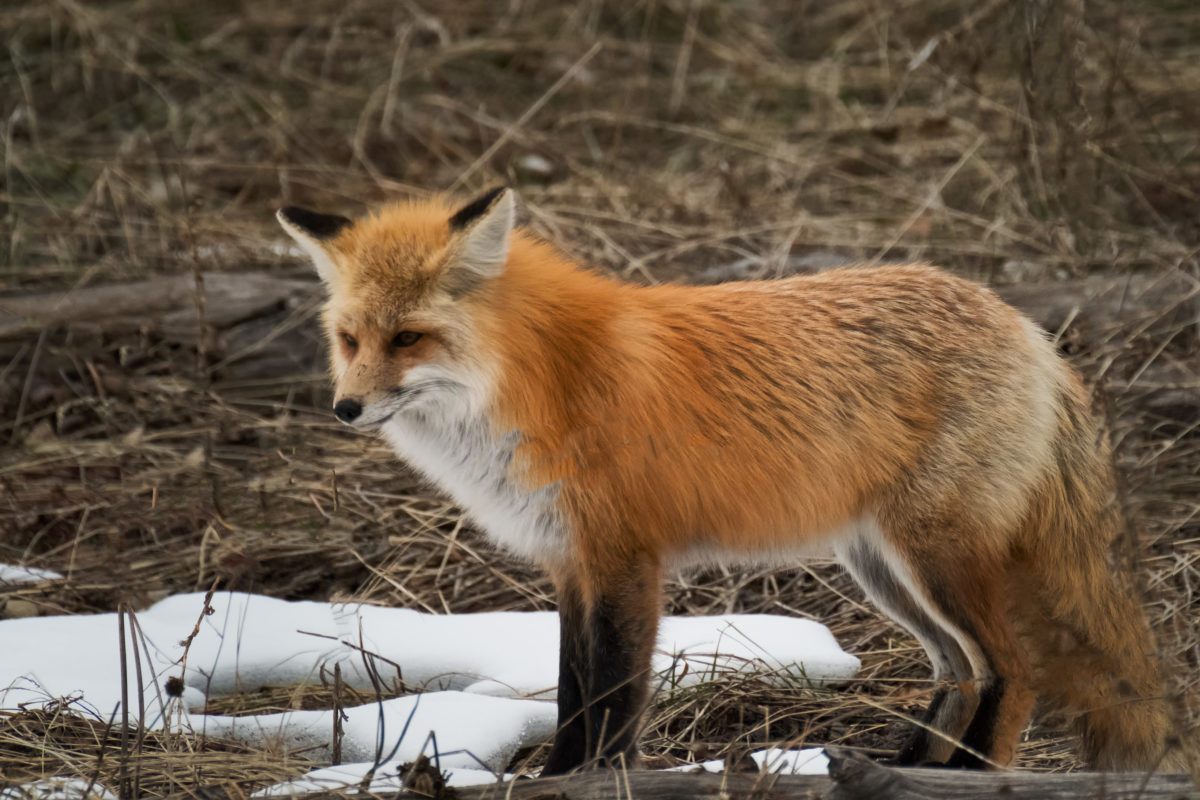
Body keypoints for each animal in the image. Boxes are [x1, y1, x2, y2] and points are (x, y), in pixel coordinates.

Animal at [277, 187, 1183, 774]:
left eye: (409, 338)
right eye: (350, 338)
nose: (346, 408)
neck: (535, 383)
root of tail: (1026, 326)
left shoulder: (624, 558)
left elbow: (609, 697)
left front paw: (581, 780)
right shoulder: (571, 561)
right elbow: (573, 687)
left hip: (933, 558)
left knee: (1012, 671)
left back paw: (961, 778)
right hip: (884, 568)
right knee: (960, 671)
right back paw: (910, 770)